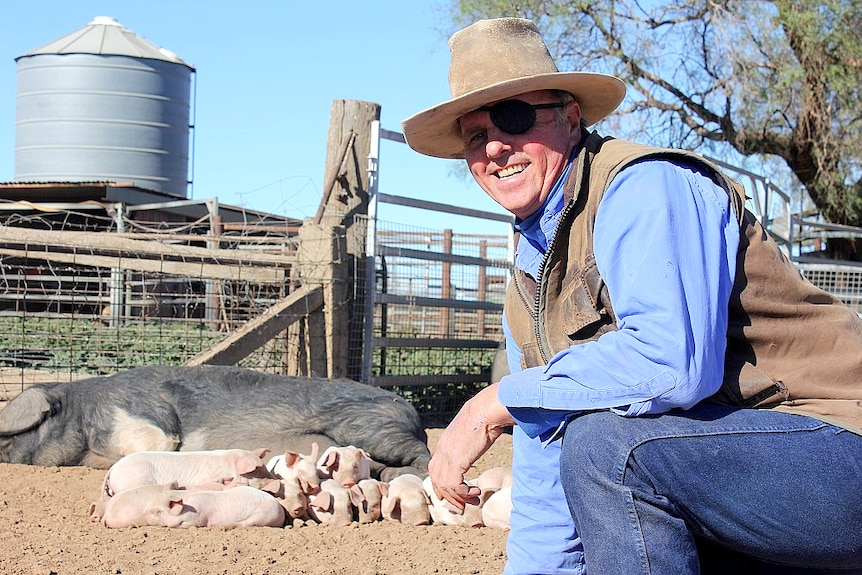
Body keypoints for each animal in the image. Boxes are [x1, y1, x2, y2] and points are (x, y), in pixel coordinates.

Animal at [0, 366, 430, 480]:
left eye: (27, 427)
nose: (3, 451)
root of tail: (411, 414)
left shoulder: (145, 419)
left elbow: (159, 442)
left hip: (372, 427)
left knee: (422, 456)